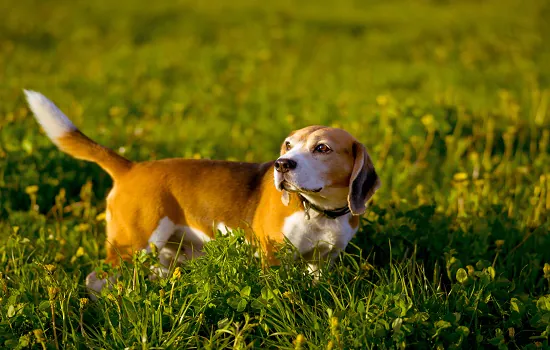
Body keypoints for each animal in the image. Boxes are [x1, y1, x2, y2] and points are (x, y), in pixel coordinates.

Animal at [24, 89, 380, 292]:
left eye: (322, 148)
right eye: (289, 145)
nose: (281, 164)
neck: (320, 211)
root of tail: (131, 167)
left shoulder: (322, 262)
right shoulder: (272, 256)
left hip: (166, 253)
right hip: (134, 244)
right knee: (96, 278)